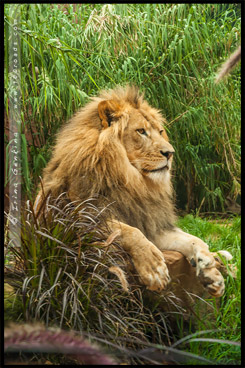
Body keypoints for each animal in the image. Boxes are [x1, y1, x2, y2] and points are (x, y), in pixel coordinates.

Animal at [35, 87, 231, 300]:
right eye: (141, 131)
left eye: (160, 131)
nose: (170, 153)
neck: (133, 182)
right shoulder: (76, 218)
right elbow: (128, 231)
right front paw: (154, 269)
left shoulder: (151, 223)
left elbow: (193, 239)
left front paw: (210, 269)